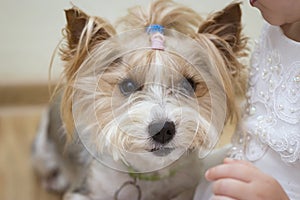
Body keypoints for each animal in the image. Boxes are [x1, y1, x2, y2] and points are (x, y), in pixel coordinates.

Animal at [30, 0, 247, 199]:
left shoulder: (186, 186)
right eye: (127, 86)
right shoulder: (84, 190)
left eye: (189, 85)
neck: (149, 173)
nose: (163, 130)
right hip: (41, 150)